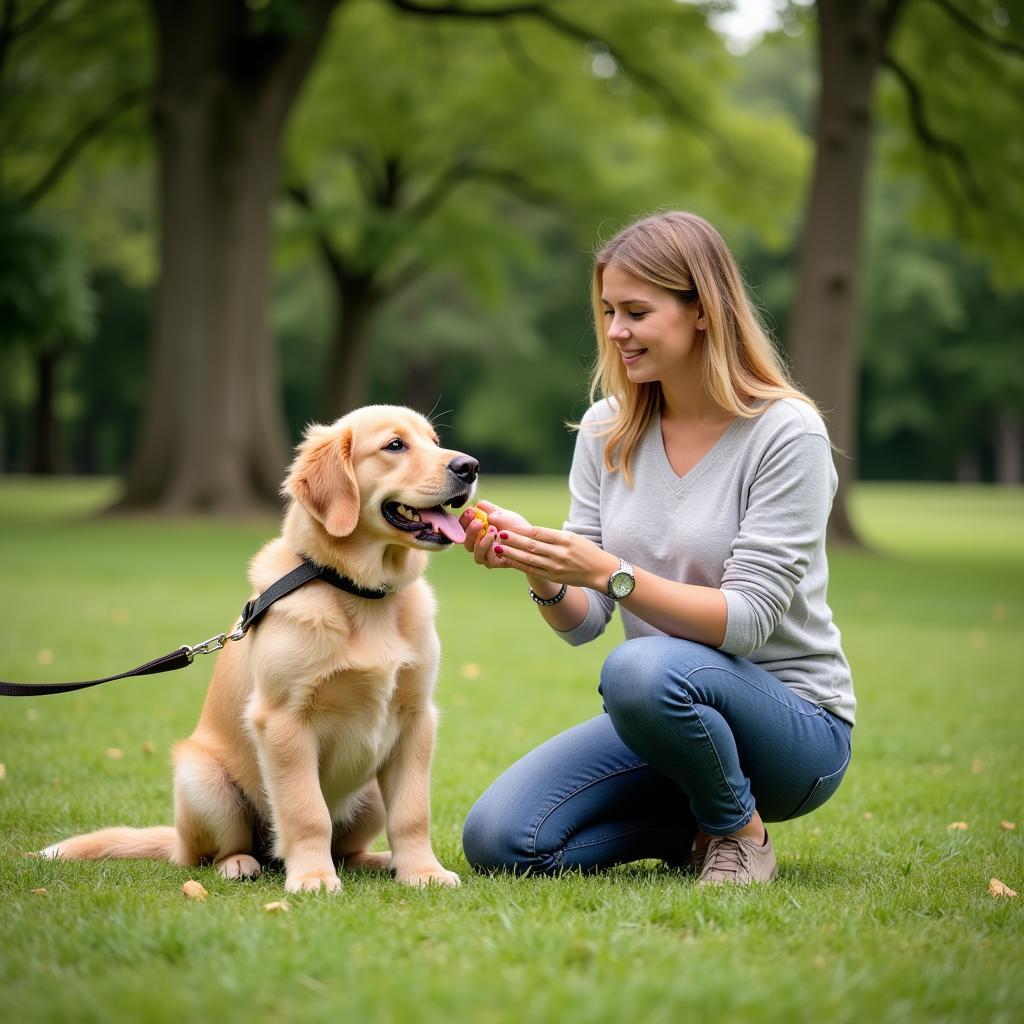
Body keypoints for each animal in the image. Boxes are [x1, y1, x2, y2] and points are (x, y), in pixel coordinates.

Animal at [43, 403, 475, 892]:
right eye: (395, 445)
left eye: (435, 441)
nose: (470, 467)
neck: (360, 593)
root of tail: (176, 841)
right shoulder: (284, 720)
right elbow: (307, 812)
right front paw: (313, 879)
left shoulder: (416, 718)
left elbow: (413, 812)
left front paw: (422, 871)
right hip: (204, 782)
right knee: (217, 853)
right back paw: (240, 864)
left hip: (369, 796)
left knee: (347, 850)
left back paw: (379, 861)